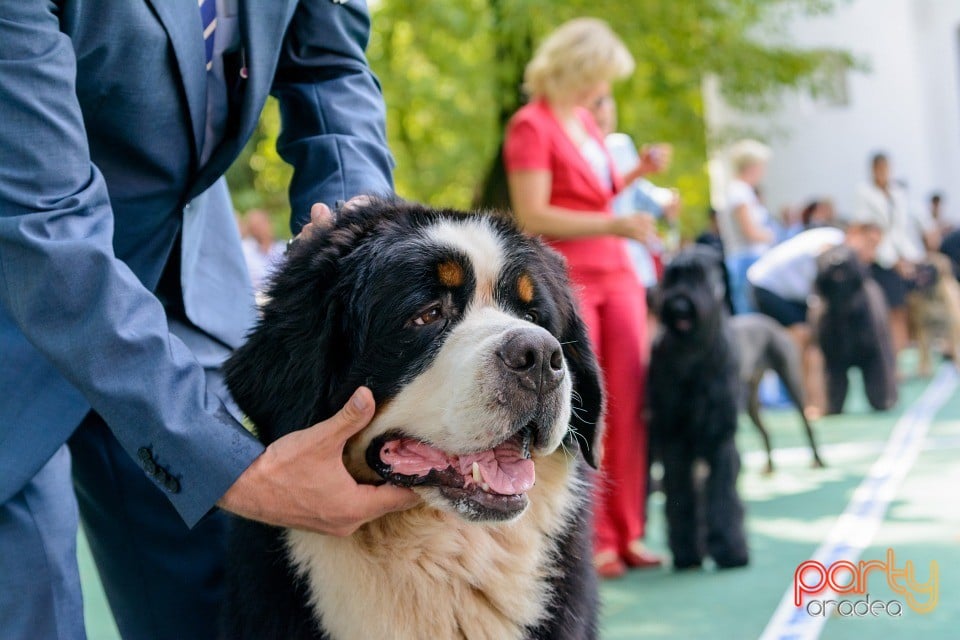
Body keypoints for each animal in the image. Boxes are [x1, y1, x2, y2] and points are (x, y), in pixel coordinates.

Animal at [808, 242, 900, 412]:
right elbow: (834, 386)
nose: (837, 260)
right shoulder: (833, 360)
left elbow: (878, 381)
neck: (843, 310)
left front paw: (883, 403)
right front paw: (832, 409)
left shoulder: (873, 354)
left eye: (849, 252)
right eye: (828, 254)